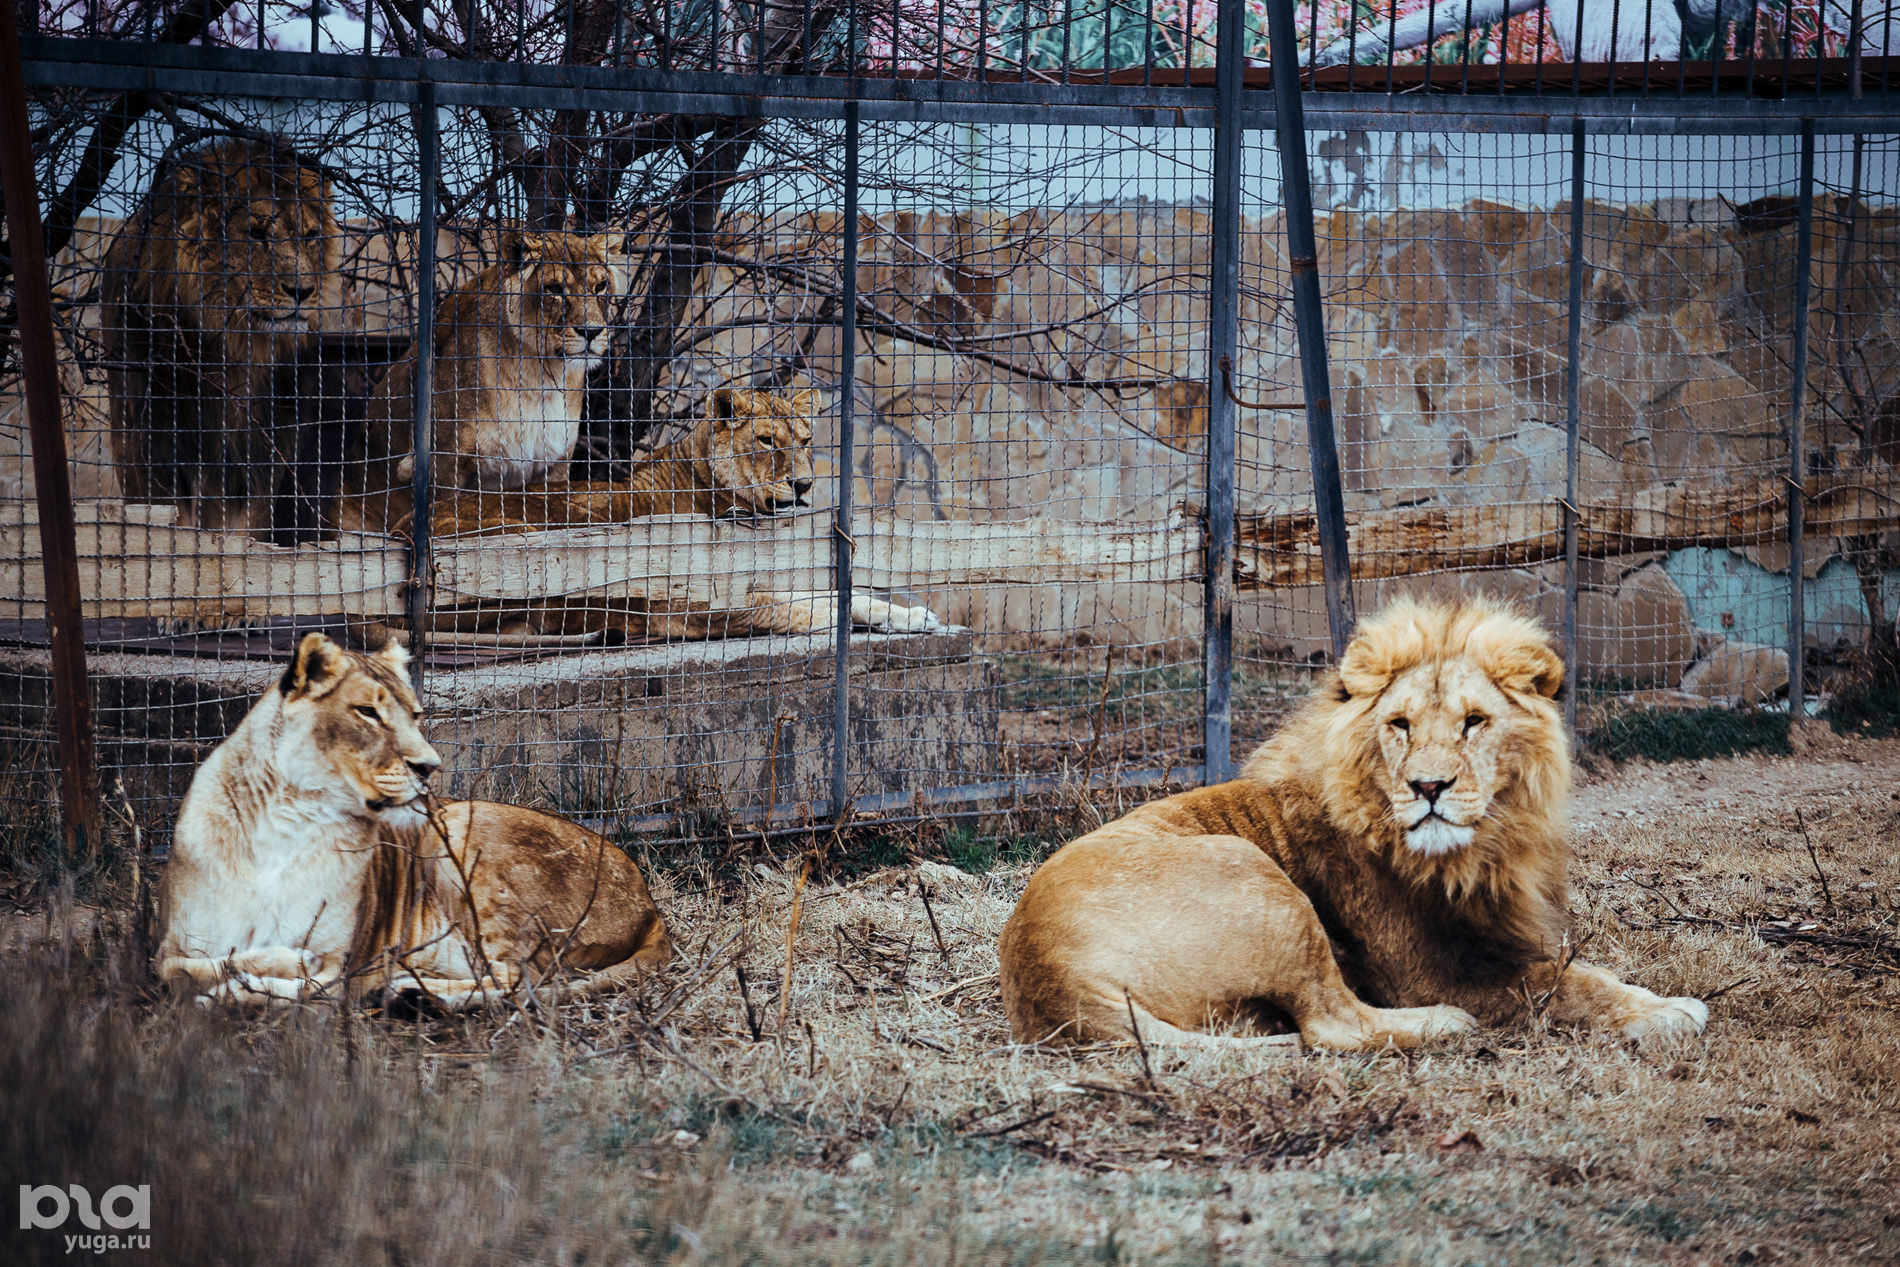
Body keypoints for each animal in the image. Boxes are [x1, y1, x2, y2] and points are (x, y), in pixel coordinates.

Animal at [157, 634, 676, 1010]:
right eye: (368, 712)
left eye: (416, 714)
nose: (430, 766)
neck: (292, 816)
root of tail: (651, 905)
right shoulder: (170, 943)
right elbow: (178, 968)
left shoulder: (342, 965)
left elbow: (308, 984)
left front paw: (248, 984)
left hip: (462, 833)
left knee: (523, 979)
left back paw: (411, 994)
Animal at [1003, 600, 1717, 1056]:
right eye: (1400, 725)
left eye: (1474, 722)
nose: (1428, 787)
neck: (1482, 847)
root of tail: (1050, 978)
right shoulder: (1429, 972)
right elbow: (1564, 983)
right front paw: (1670, 1012)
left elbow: (1582, 968)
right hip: (1252, 873)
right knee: (1331, 1026)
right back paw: (1444, 1027)